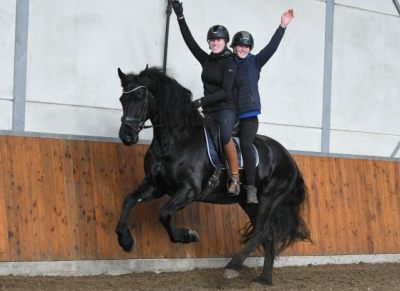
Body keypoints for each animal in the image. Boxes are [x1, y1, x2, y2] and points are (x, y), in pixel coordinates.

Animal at [115, 65, 310, 286]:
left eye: (140, 96)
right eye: (122, 99)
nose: (126, 136)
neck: (176, 141)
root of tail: (288, 156)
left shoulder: (189, 191)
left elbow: (164, 214)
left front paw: (189, 235)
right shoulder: (155, 185)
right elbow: (128, 200)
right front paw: (125, 240)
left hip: (270, 197)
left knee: (261, 231)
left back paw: (234, 265)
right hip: (250, 202)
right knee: (267, 235)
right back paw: (263, 279)